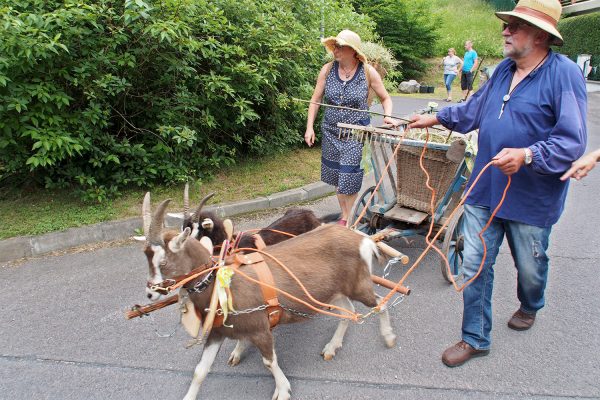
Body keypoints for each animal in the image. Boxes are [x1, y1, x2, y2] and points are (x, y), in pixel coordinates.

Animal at [140, 192, 394, 398]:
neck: (222, 284)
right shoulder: (217, 332)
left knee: (380, 303)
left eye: (163, 261)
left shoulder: (260, 329)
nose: (150, 293)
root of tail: (362, 239)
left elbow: (269, 362)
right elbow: (200, 371)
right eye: (146, 257)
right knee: (349, 310)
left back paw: (388, 337)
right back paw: (332, 347)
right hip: (335, 289)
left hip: (359, 284)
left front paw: (283, 390)